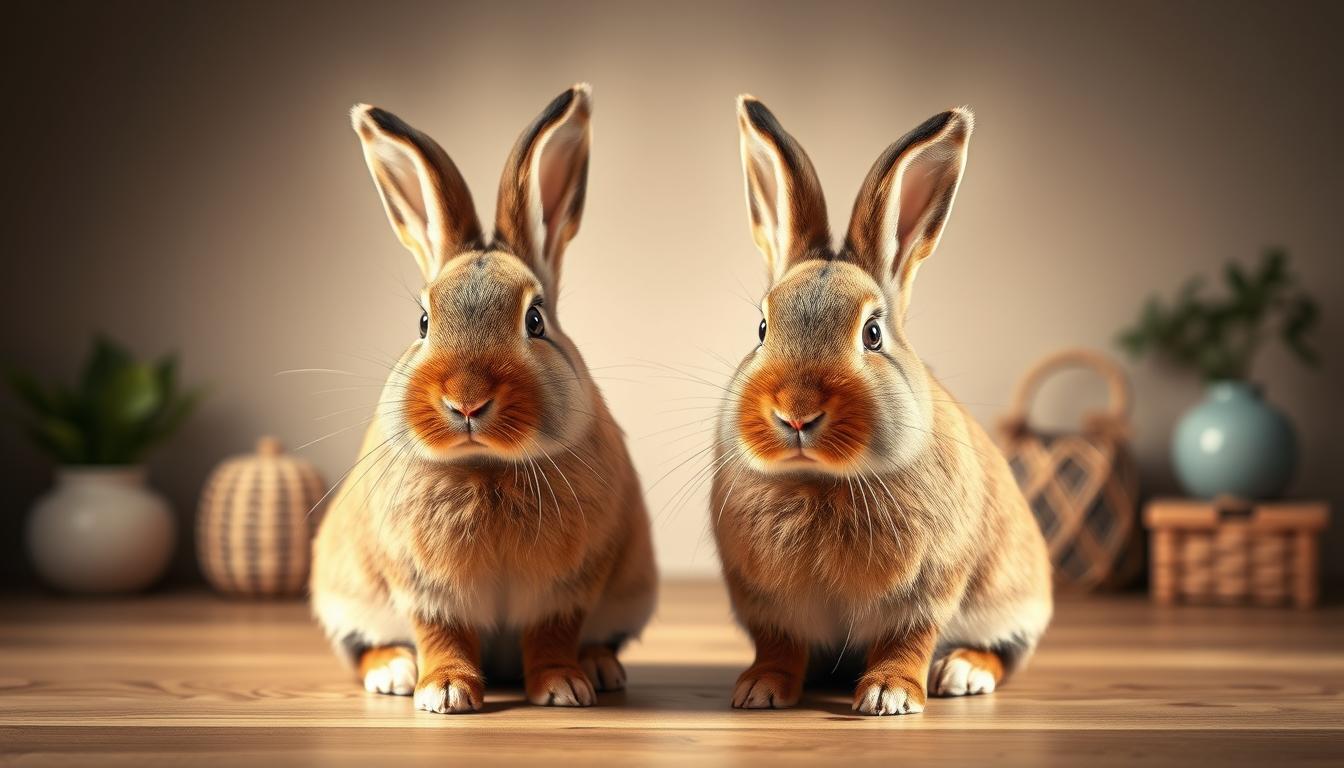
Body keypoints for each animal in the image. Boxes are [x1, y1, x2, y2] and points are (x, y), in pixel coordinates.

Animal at [310, 84, 657, 714]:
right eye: (423, 321)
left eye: (535, 320)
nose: (466, 402)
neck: (485, 466)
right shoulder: (425, 585)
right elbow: (441, 633)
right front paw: (445, 691)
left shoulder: (567, 587)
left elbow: (552, 634)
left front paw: (562, 688)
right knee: (364, 649)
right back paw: (395, 672)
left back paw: (598, 668)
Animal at [710, 96, 1052, 716]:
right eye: (762, 328)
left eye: (872, 334)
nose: (796, 413)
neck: (820, 482)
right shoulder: (767, 602)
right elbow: (778, 645)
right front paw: (760, 690)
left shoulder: (926, 587)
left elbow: (907, 638)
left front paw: (890, 695)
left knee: (1004, 653)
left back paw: (961, 672)